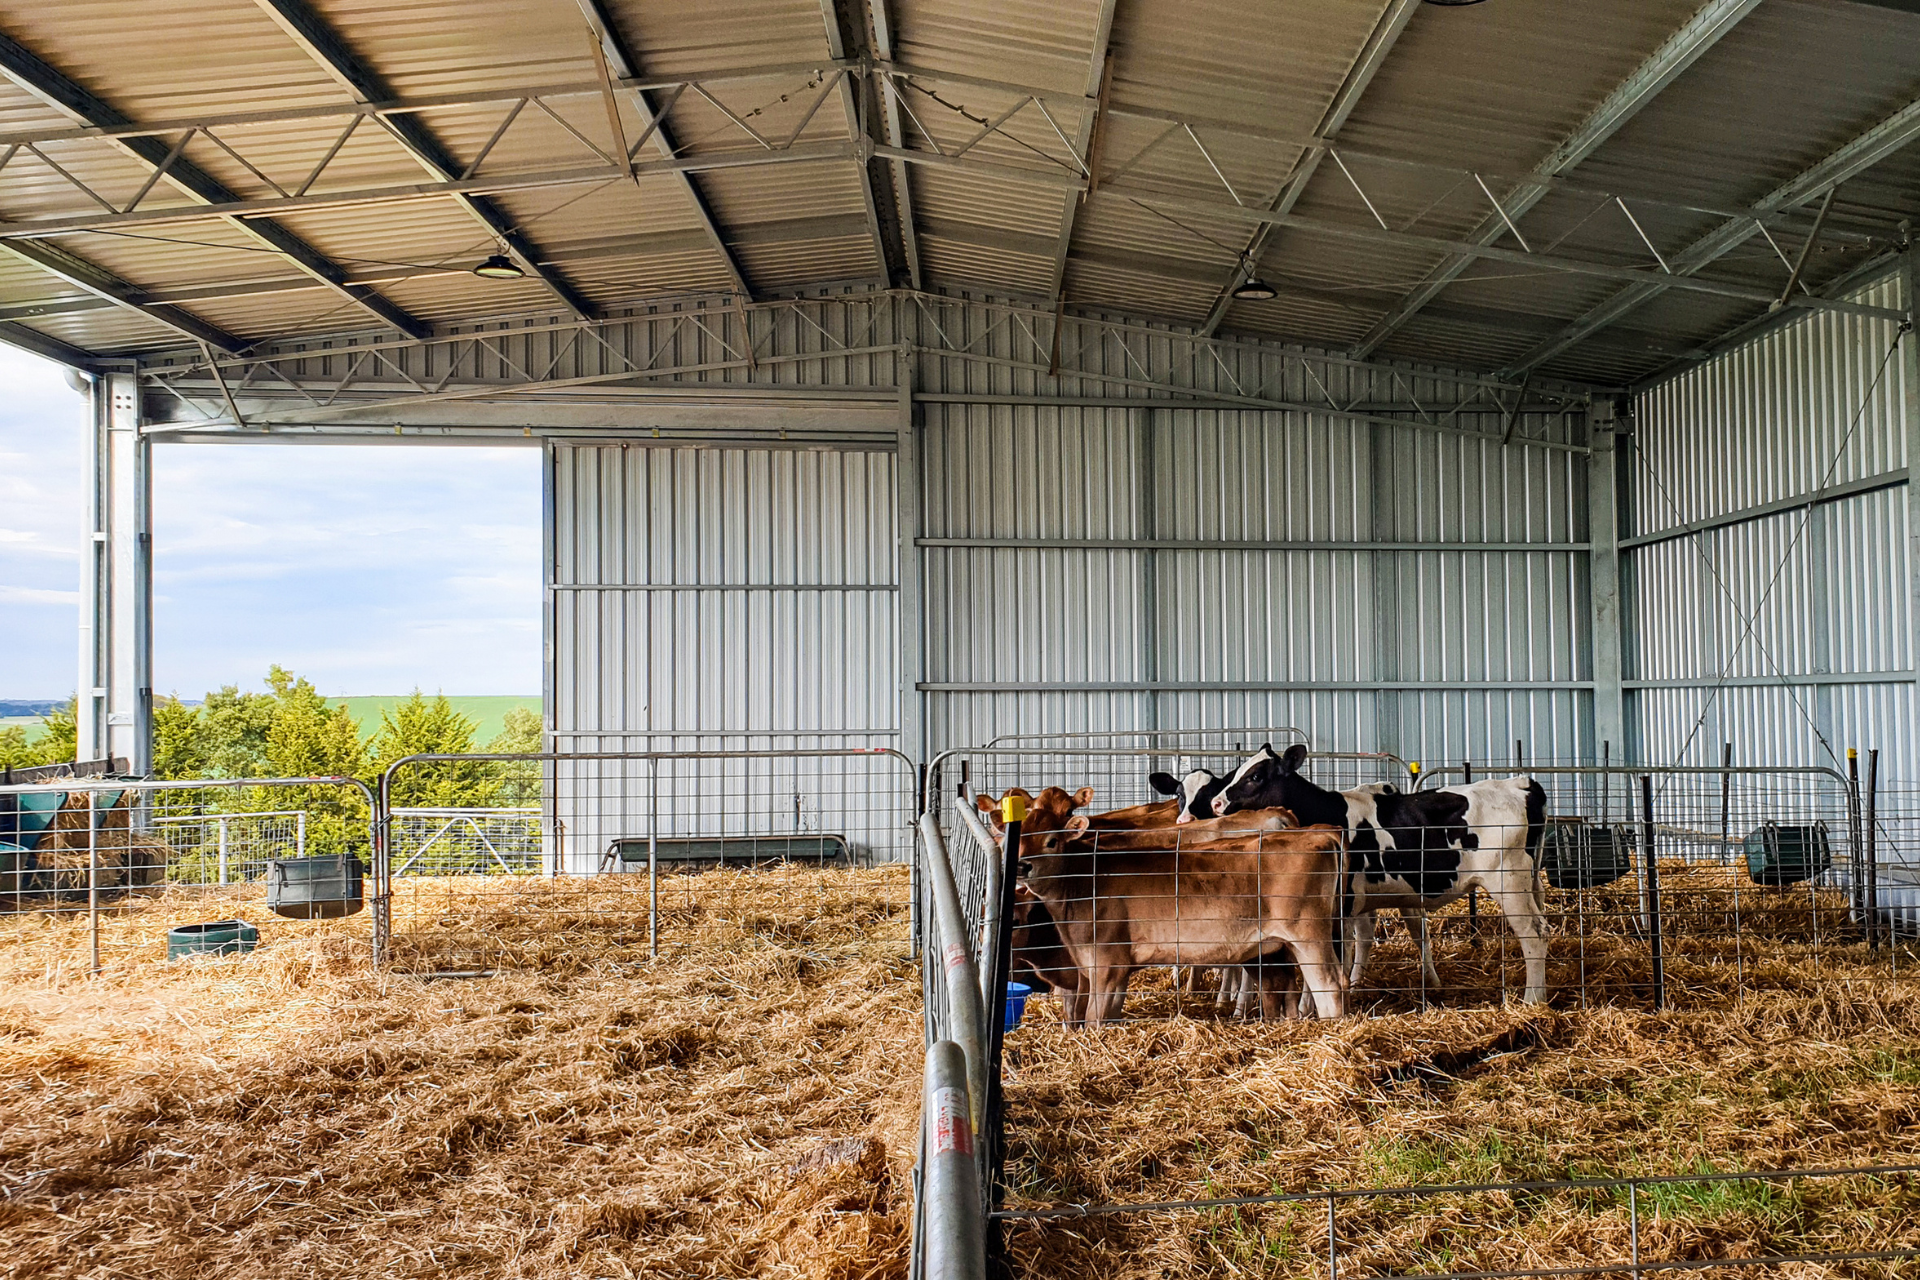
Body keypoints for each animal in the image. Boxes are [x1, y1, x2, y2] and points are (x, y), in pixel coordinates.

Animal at [1221, 744, 1551, 1005]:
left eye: (1255, 776)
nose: (1216, 803)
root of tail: (1520, 784)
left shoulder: (1341, 903)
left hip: (1509, 881)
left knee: (1533, 934)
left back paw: (1531, 1000)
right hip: (1530, 883)